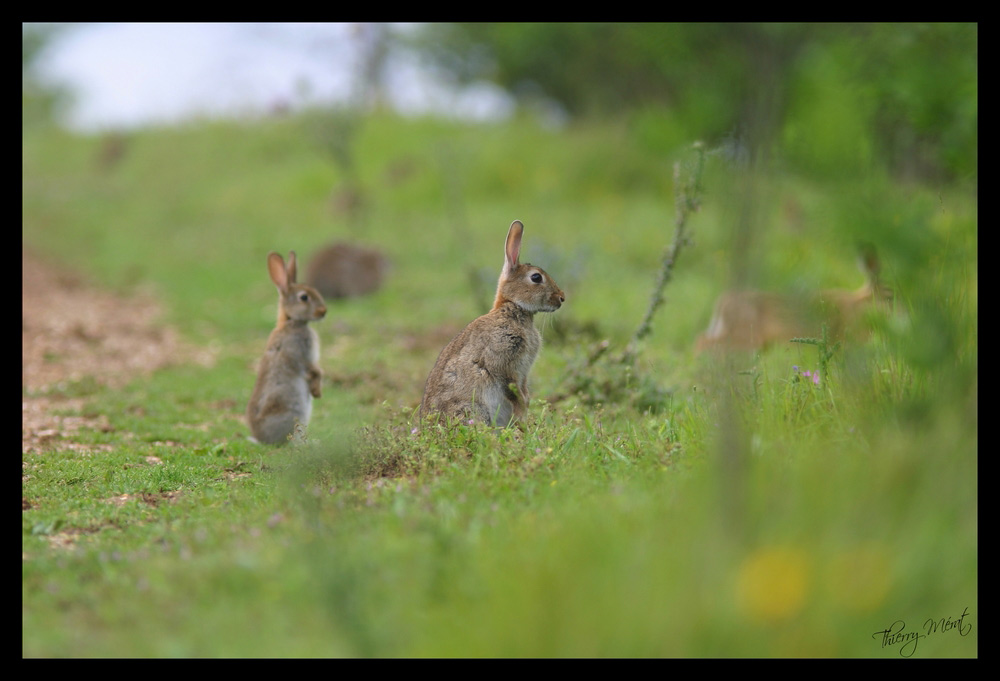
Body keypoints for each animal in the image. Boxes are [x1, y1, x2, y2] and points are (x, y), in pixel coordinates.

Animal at [246, 252, 328, 444]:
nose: (323, 311)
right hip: (292, 412)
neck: (292, 321)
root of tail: (260, 439)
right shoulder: (300, 354)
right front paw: (317, 392)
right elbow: (315, 371)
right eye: (304, 297)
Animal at [418, 220, 568, 428]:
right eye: (536, 277)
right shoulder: (500, 362)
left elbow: (523, 389)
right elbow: (512, 391)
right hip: (474, 409)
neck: (513, 308)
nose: (562, 298)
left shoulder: (522, 373)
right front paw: (522, 413)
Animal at [692, 244, 896, 350]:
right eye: (890, 295)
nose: (900, 312)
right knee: (703, 343)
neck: (860, 306)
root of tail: (721, 303)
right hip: (742, 336)